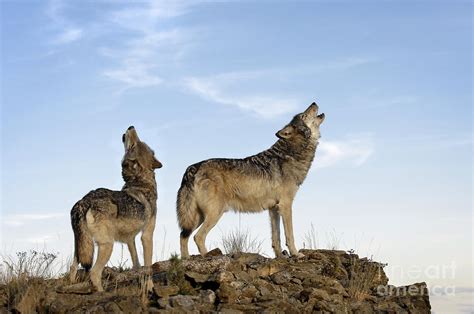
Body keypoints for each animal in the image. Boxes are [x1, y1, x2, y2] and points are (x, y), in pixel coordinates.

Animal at [67, 126, 162, 290]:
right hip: (107, 245)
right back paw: (101, 292)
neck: (141, 181)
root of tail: (84, 201)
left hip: (81, 247)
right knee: (94, 273)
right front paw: (149, 287)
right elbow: (148, 266)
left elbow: (137, 264)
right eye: (133, 145)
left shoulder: (130, 239)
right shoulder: (146, 235)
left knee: (73, 268)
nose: (131, 126)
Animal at [178, 102, 326, 258]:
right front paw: (296, 254)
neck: (291, 153)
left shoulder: (273, 208)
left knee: (183, 235)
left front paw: (280, 256)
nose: (314, 102)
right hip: (213, 214)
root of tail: (193, 168)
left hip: (197, 217)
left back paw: (185, 259)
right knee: (198, 236)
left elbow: (276, 237)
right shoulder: (286, 205)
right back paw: (209, 256)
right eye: (304, 115)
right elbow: (289, 235)